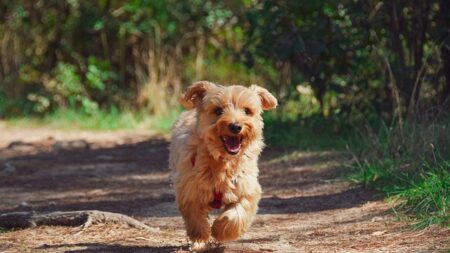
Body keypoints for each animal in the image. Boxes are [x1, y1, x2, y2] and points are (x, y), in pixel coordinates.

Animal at [169, 80, 276, 250]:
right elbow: (196, 219)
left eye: (247, 110)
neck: (223, 161)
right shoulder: (189, 189)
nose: (236, 126)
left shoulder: (246, 188)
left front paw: (220, 230)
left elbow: (236, 215)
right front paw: (200, 238)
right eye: (218, 110)